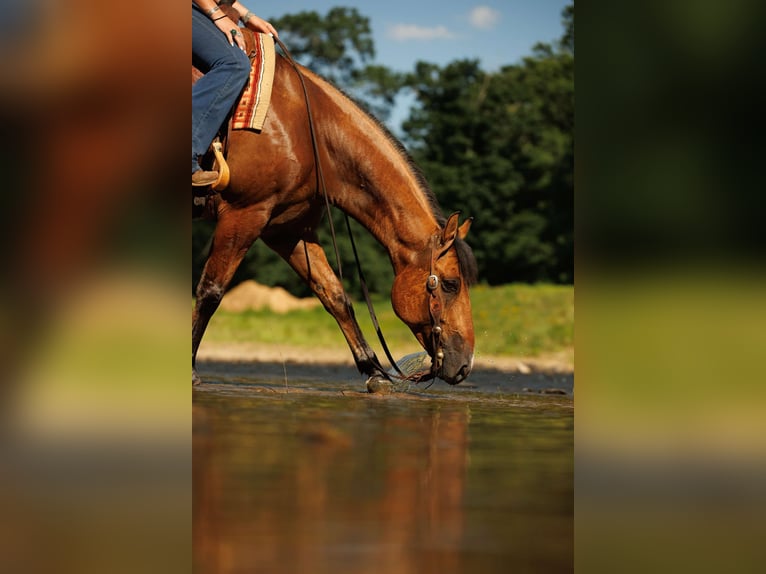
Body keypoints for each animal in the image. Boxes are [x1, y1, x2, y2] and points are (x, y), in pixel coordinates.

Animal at [193, 47, 478, 387]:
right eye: (450, 284)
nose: (465, 365)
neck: (308, 130)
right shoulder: (244, 215)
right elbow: (211, 292)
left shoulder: (287, 230)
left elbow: (336, 296)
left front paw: (373, 370)